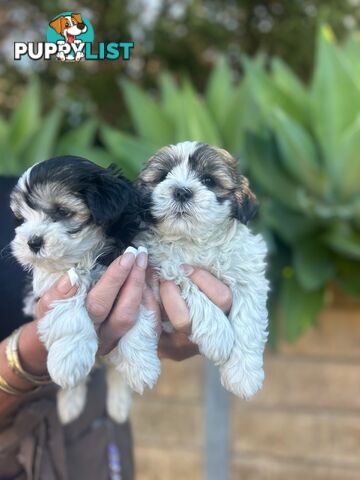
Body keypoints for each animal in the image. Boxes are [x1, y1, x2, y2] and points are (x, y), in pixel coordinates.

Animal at [9, 156, 142, 422]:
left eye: (62, 211)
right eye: (22, 218)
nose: (32, 242)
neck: (85, 255)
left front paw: (140, 365)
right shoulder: (53, 286)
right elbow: (67, 308)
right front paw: (70, 360)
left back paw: (119, 404)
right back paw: (70, 402)